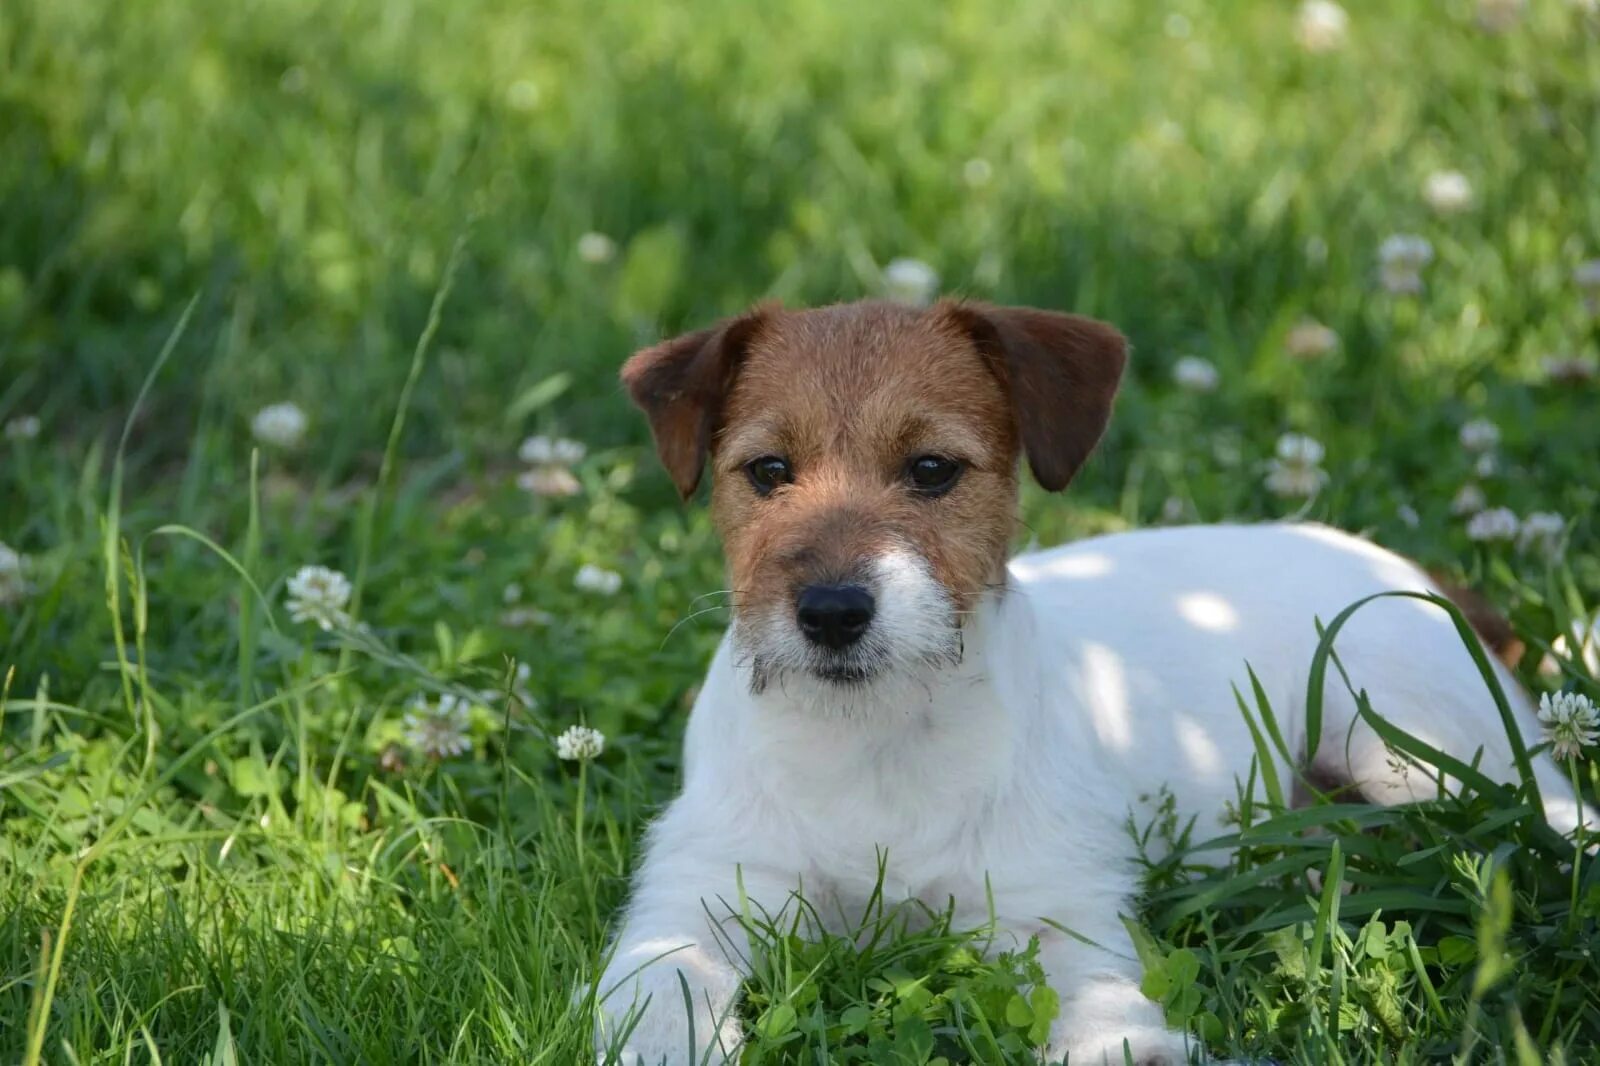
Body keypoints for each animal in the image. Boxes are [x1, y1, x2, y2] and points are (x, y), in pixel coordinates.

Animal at [595, 299, 1593, 1062]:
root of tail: (1421, 578)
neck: (875, 740)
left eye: (931, 470)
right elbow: (662, 981)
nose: (833, 612)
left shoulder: (1058, 907)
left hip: (1420, 746)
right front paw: (661, 1044)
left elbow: (1103, 995)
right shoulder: (697, 890)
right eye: (768, 471)